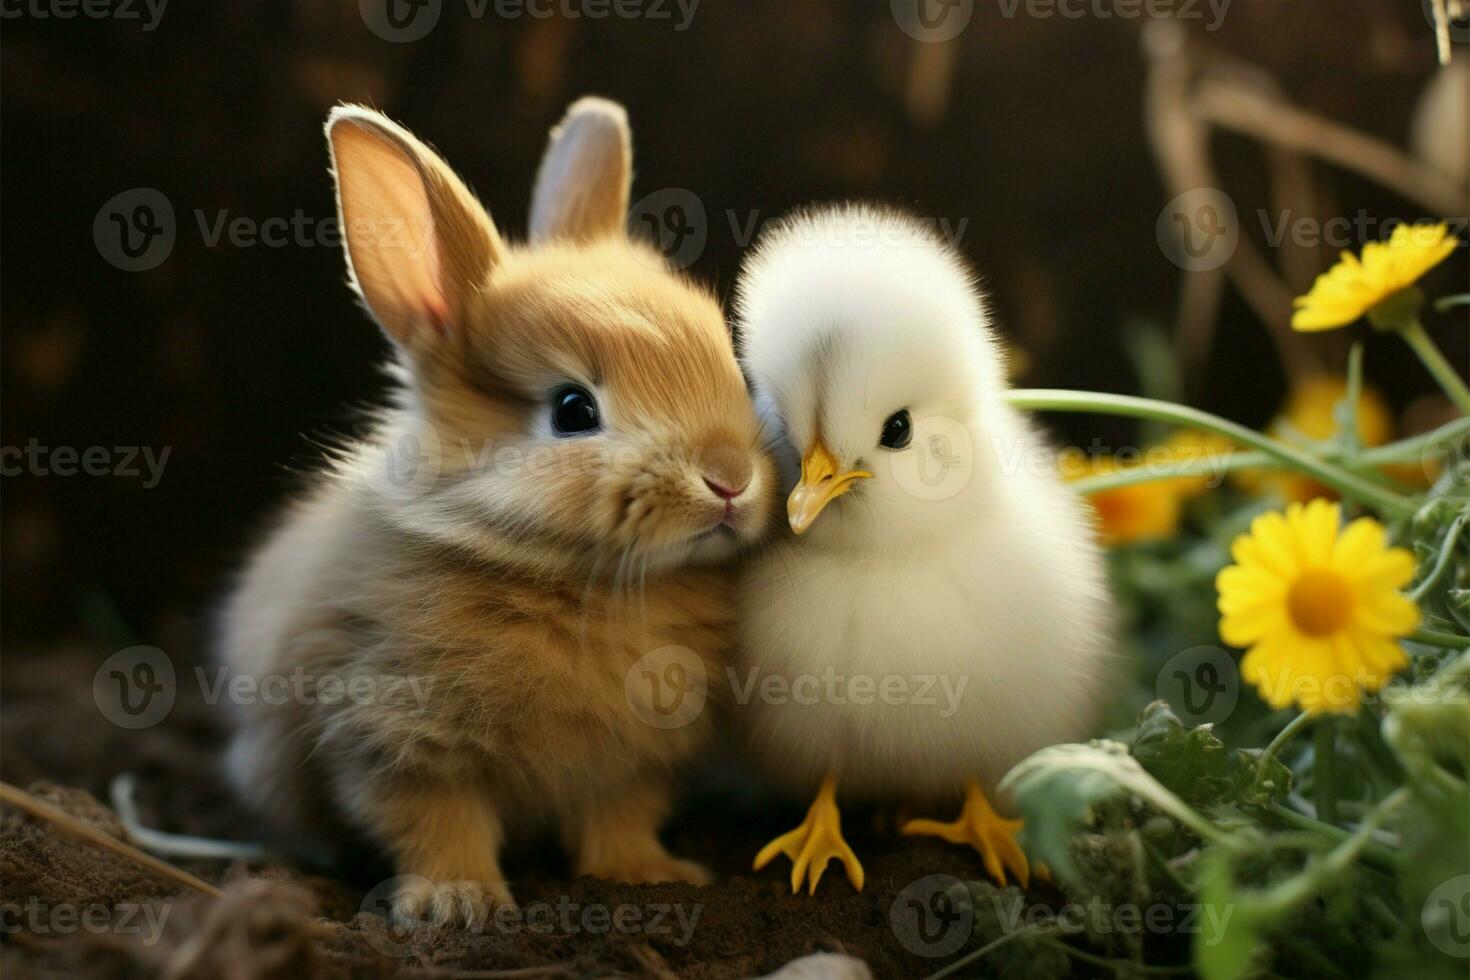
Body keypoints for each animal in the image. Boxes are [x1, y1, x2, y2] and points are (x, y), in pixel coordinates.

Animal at [214, 99, 782, 928]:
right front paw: (458, 903)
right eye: (573, 410)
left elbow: (619, 818)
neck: (568, 576)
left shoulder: (628, 765)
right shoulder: (394, 736)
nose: (730, 479)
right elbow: (434, 823)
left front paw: (647, 875)